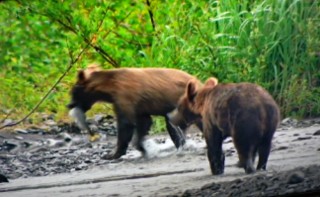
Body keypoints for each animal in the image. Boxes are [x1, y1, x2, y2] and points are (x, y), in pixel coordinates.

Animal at [67, 65, 200, 160]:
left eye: (73, 91)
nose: (69, 105)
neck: (109, 89)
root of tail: (198, 81)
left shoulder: (125, 97)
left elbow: (126, 124)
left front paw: (112, 154)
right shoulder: (139, 107)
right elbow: (144, 122)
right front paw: (142, 148)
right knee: (172, 126)